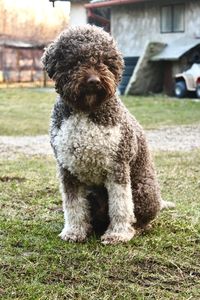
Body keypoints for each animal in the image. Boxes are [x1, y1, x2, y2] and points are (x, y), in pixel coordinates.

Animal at [41, 23, 173, 244]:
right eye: (77, 59)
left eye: (104, 60)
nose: (94, 81)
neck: (86, 110)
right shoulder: (67, 169)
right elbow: (73, 204)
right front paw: (74, 231)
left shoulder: (117, 166)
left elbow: (120, 204)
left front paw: (118, 233)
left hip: (143, 190)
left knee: (140, 216)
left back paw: (136, 228)